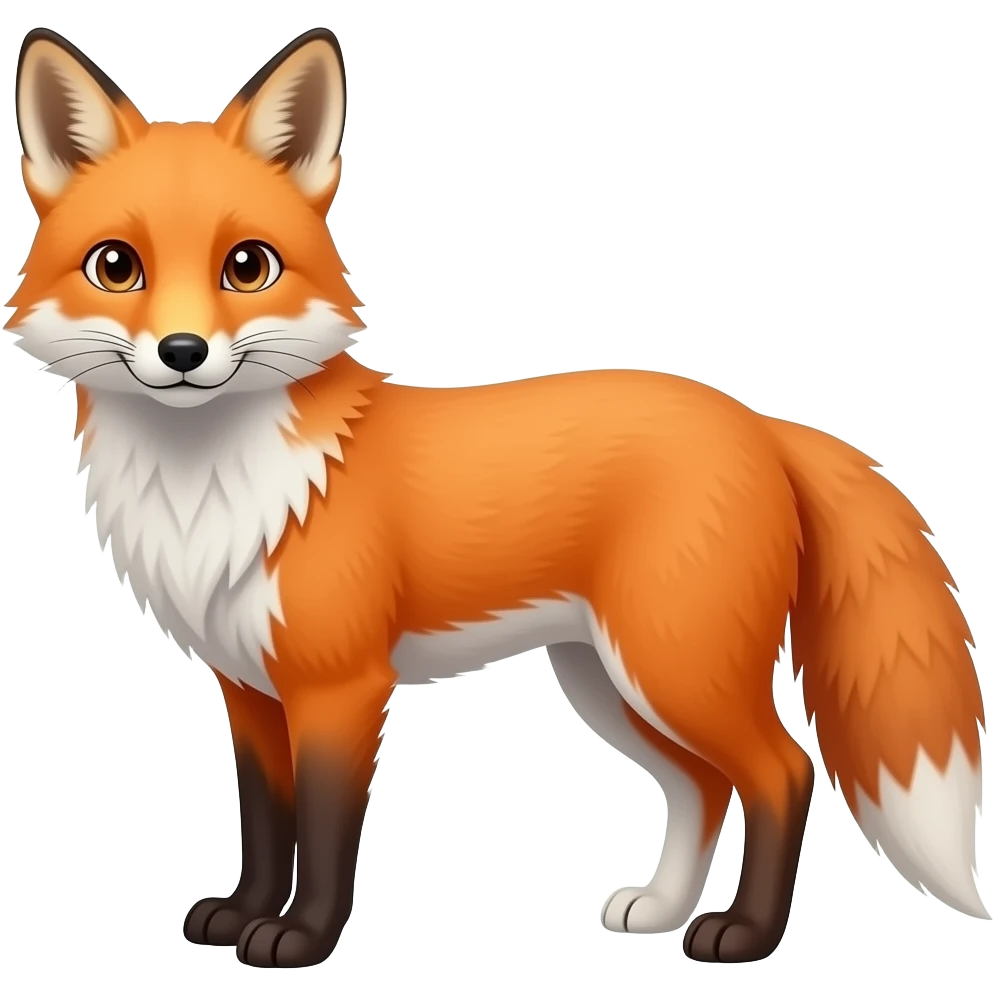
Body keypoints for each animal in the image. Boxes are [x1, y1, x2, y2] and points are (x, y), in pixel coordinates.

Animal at [6, 25, 989, 969]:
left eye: (247, 266)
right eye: (117, 266)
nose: (182, 352)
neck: (209, 488)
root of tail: (754, 419)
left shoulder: (340, 687)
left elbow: (322, 832)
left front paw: (299, 939)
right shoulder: (247, 687)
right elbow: (267, 822)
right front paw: (245, 914)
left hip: (674, 666)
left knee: (783, 771)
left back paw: (741, 936)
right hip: (608, 680)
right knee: (702, 783)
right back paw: (660, 909)